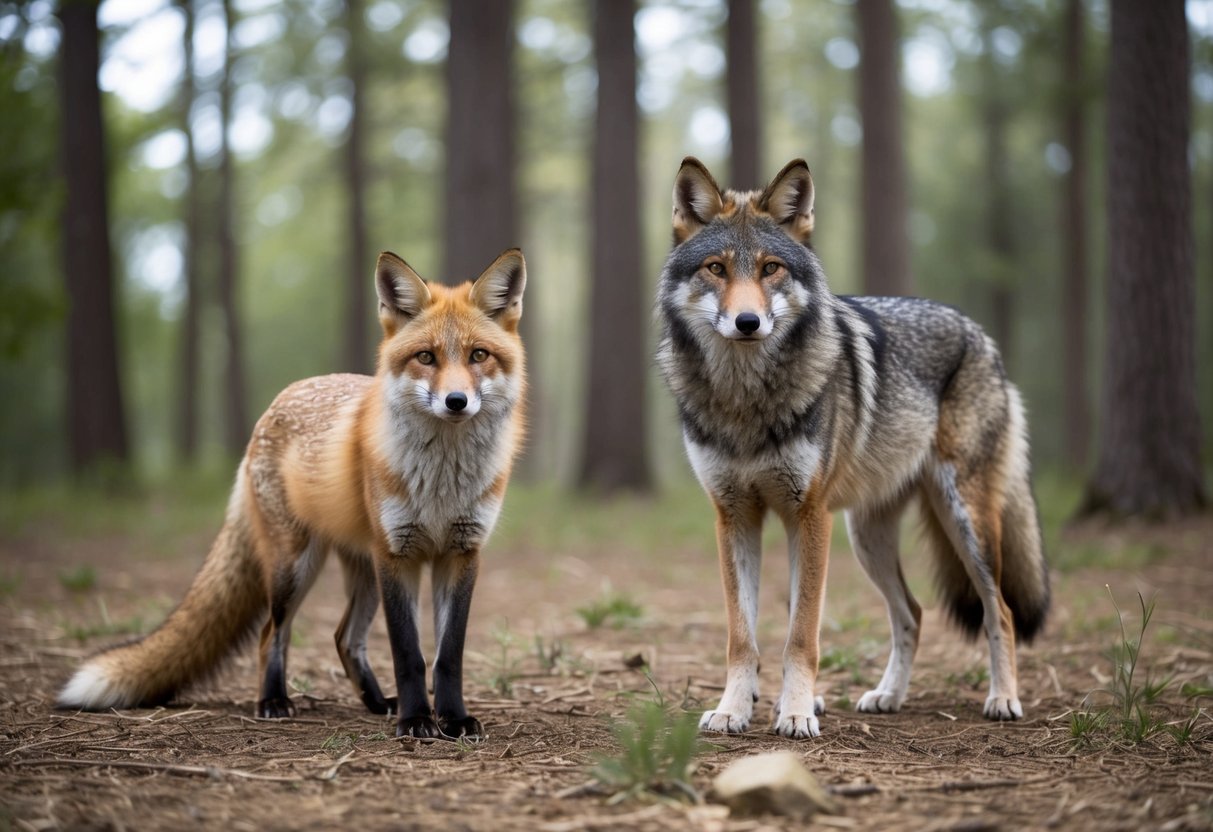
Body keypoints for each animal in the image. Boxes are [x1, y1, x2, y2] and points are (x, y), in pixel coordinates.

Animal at [57, 248, 528, 741]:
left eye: (478, 355)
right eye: (426, 357)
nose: (456, 401)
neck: (441, 483)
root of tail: (275, 404)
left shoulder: (460, 554)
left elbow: (447, 657)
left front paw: (452, 720)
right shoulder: (397, 555)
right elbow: (409, 656)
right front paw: (416, 720)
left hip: (363, 573)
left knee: (344, 639)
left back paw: (377, 703)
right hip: (296, 567)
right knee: (272, 635)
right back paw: (274, 701)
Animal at [655, 157, 1049, 739]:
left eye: (770, 269)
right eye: (717, 269)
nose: (748, 322)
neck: (747, 400)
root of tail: (979, 333)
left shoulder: (809, 515)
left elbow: (802, 636)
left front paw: (796, 713)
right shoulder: (734, 517)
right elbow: (742, 637)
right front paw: (735, 709)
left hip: (965, 523)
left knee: (998, 610)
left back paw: (1003, 699)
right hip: (867, 538)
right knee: (913, 612)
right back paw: (888, 695)